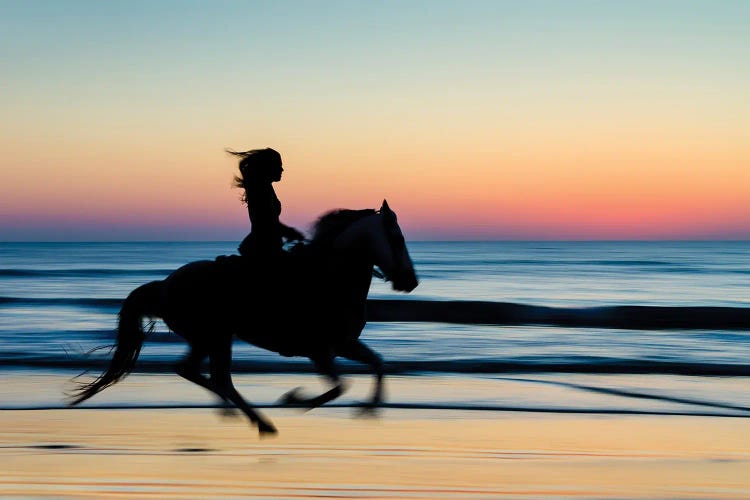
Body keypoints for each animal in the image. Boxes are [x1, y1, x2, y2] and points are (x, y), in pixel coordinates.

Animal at [67, 198, 420, 434]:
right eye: (398, 239)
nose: (411, 281)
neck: (330, 278)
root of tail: (165, 285)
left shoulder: (344, 345)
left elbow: (378, 365)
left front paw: (368, 409)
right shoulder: (321, 352)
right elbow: (339, 387)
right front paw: (294, 398)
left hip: (208, 339)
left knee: (195, 371)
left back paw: (239, 413)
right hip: (216, 337)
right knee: (216, 376)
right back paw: (259, 421)